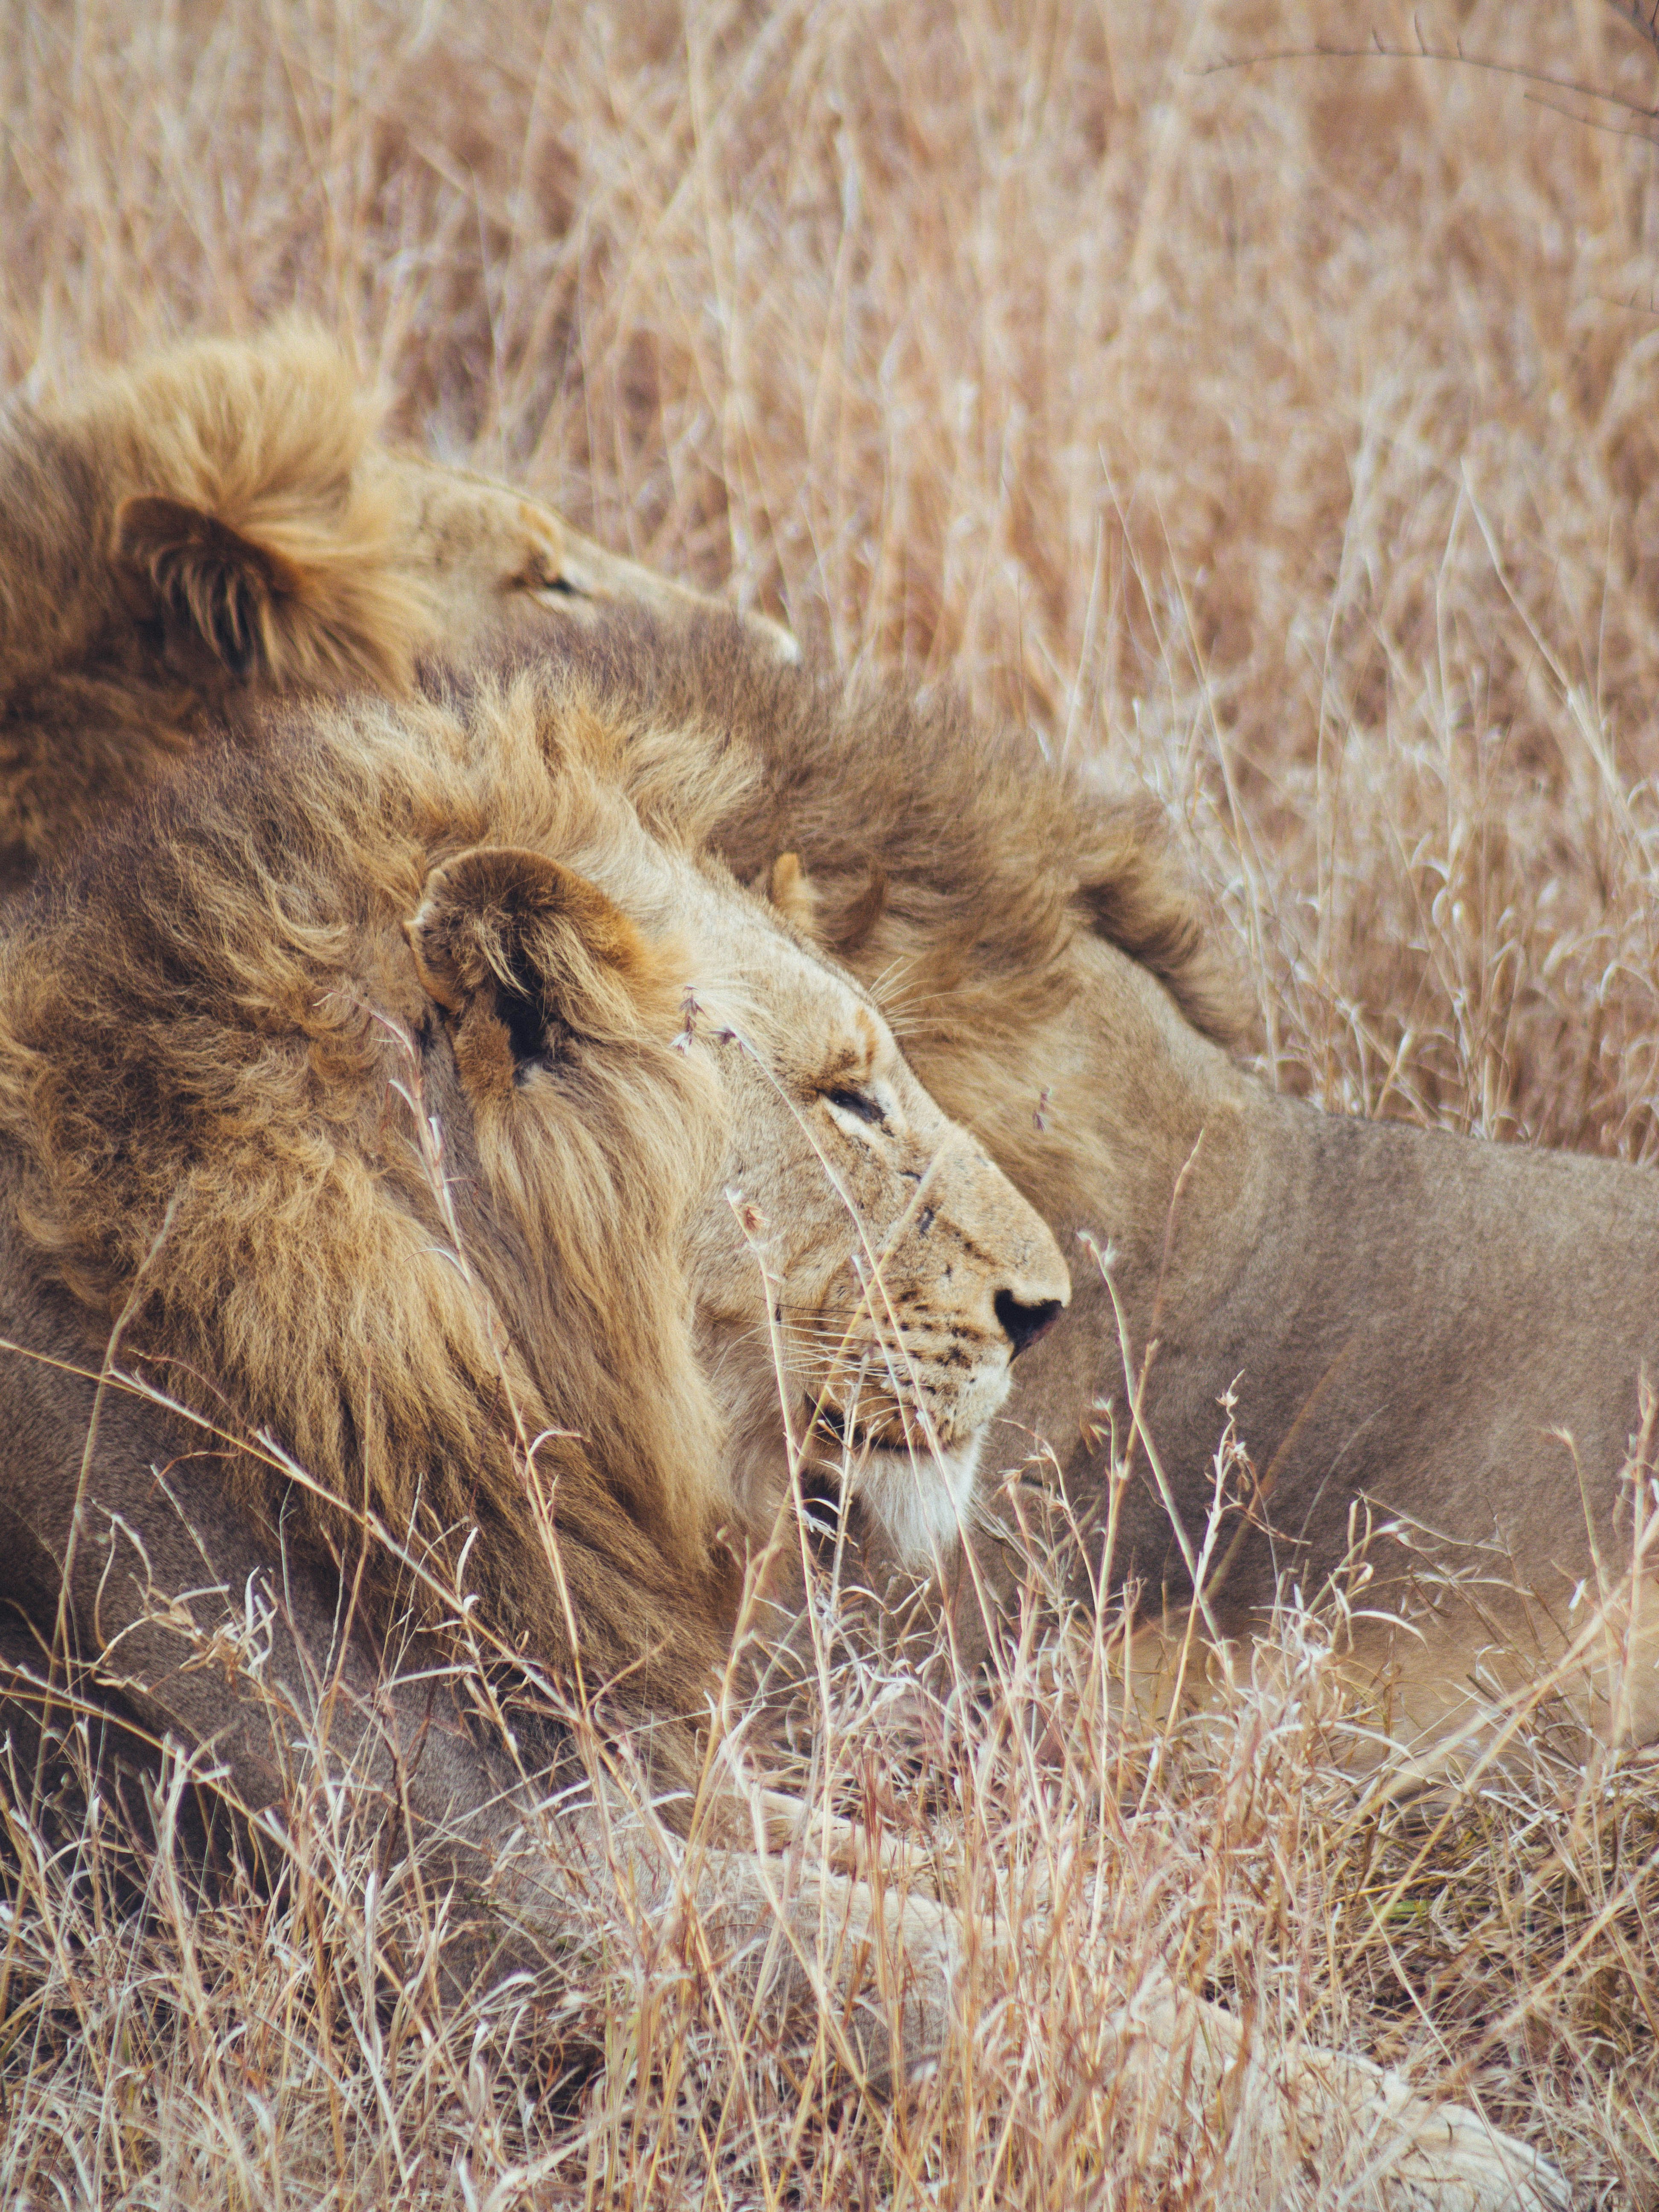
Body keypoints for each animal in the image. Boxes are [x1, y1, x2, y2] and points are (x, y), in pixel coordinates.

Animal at [0, 635, 1560, 2206]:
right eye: (848, 1099)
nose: (1047, 1307)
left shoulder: (617, 1754)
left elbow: (943, 1876)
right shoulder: (492, 1885)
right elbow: (936, 1965)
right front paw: (1422, 2144)